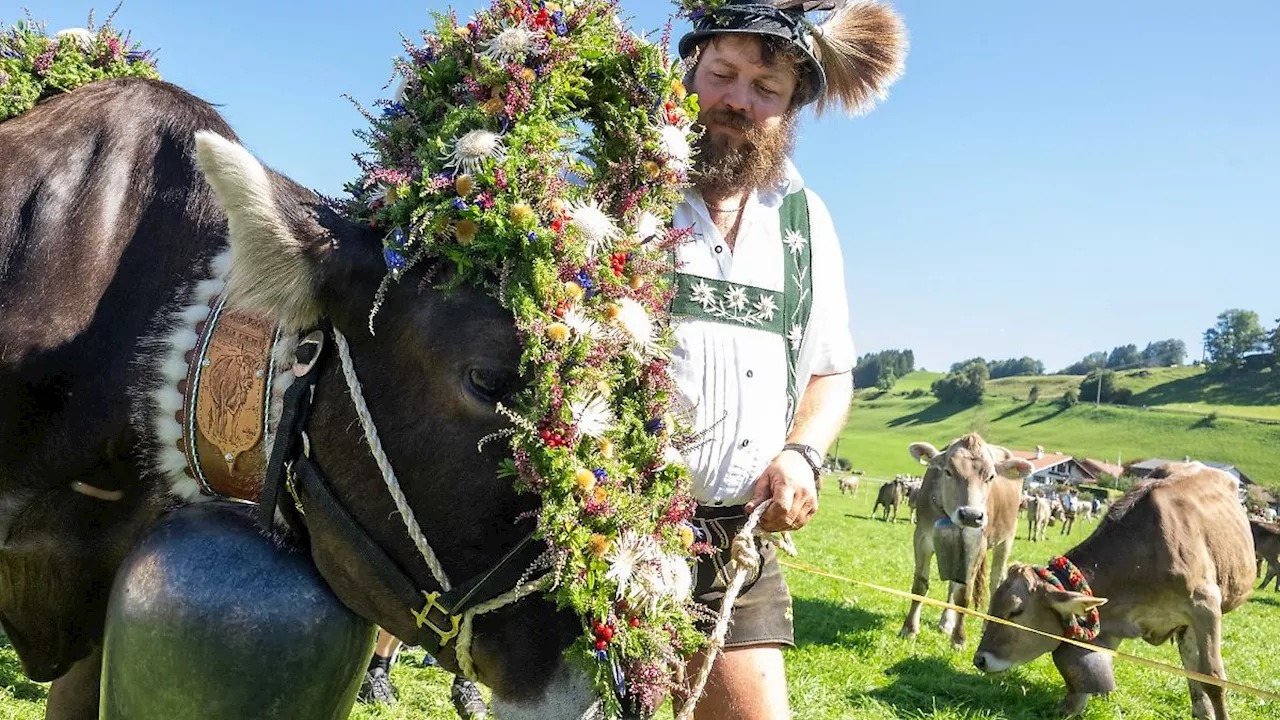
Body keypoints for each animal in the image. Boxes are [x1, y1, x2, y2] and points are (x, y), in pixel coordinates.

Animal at [896, 430, 1034, 645]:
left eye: (991, 476)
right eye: (947, 471)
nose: (971, 515)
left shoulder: (979, 545)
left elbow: (964, 596)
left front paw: (959, 639)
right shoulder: (921, 538)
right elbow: (920, 585)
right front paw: (909, 629)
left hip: (1007, 538)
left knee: (996, 581)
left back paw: (986, 624)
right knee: (953, 583)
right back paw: (946, 622)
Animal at [972, 461, 1254, 712]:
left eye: (1015, 611)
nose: (979, 659)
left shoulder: (1205, 607)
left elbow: (1213, 679)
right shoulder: (1114, 618)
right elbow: (1083, 680)